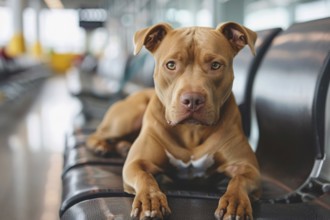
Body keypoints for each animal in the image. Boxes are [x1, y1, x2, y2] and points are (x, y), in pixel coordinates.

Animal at [87, 22, 260, 220]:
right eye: (171, 65)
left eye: (216, 65)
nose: (192, 99)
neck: (191, 132)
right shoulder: (136, 163)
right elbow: (145, 177)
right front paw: (150, 199)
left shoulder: (248, 168)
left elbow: (239, 179)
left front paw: (235, 202)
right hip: (128, 117)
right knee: (97, 134)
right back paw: (100, 146)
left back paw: (123, 147)